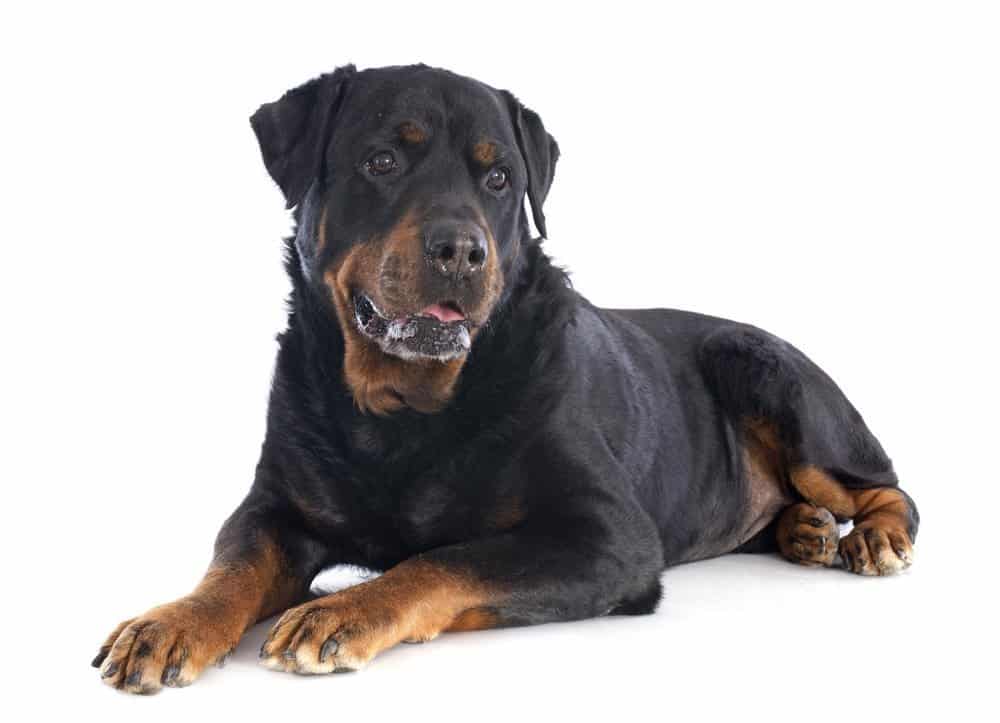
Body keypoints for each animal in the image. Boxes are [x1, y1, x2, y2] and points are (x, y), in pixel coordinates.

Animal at [95, 65, 920, 692]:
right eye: (382, 161)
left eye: (498, 178)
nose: (462, 249)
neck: (403, 408)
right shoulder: (274, 505)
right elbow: (233, 564)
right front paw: (168, 622)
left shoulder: (607, 535)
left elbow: (445, 558)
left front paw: (342, 609)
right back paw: (804, 529)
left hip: (771, 375)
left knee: (886, 486)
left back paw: (870, 536)